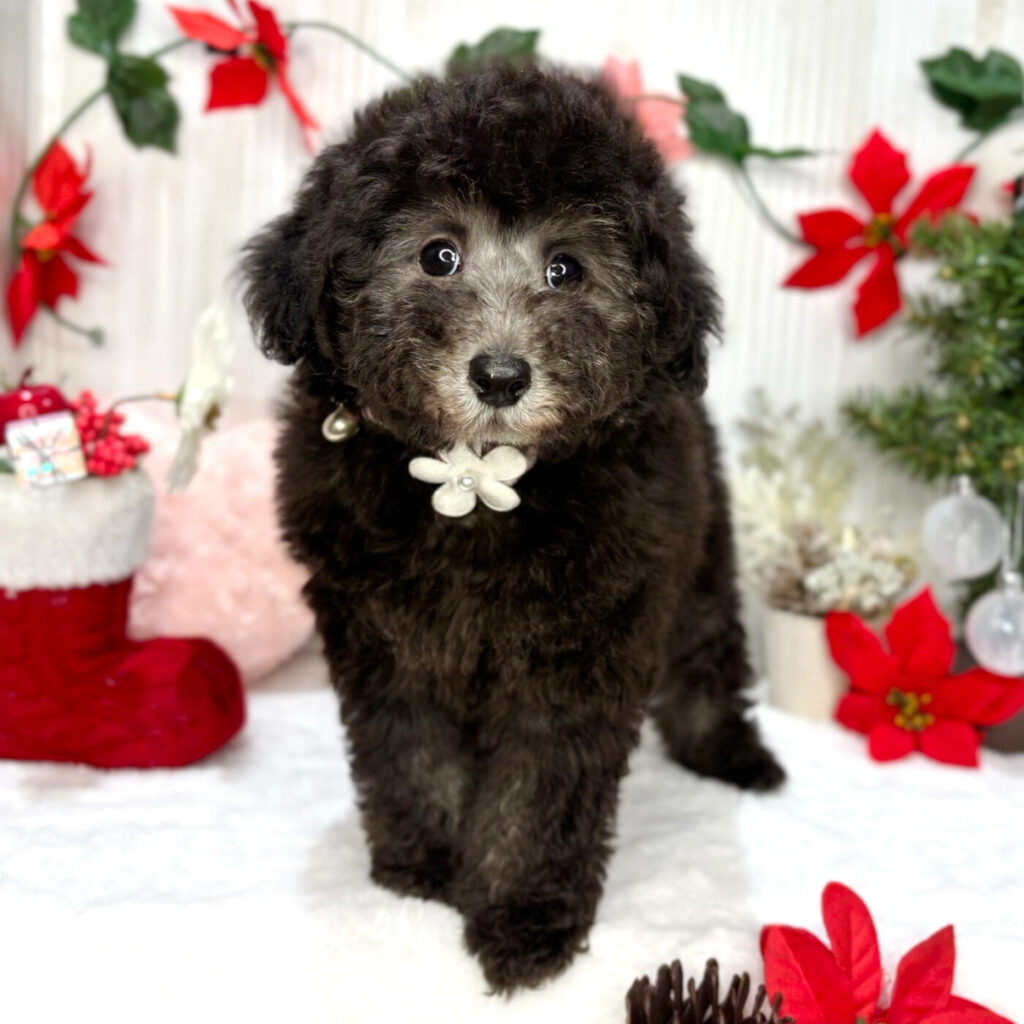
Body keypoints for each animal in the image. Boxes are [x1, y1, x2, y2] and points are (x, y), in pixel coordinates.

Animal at [243, 64, 784, 993]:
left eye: (566, 269)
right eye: (438, 255)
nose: (500, 375)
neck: (476, 483)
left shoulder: (582, 646)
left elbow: (541, 788)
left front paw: (523, 920)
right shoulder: (380, 632)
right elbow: (408, 750)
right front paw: (423, 867)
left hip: (702, 542)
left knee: (708, 642)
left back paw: (727, 750)